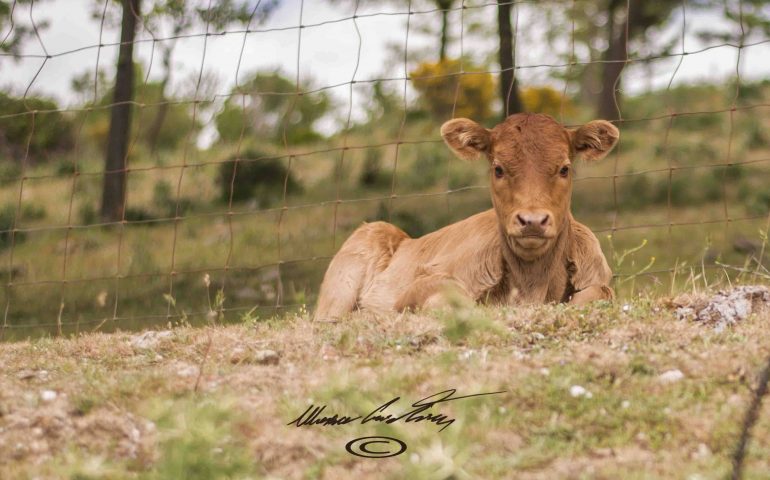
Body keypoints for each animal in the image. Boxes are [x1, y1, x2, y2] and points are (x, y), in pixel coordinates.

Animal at [312, 114, 616, 320]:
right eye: (498, 169)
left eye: (564, 168)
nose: (532, 221)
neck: (532, 284)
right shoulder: (420, 285)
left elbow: (601, 293)